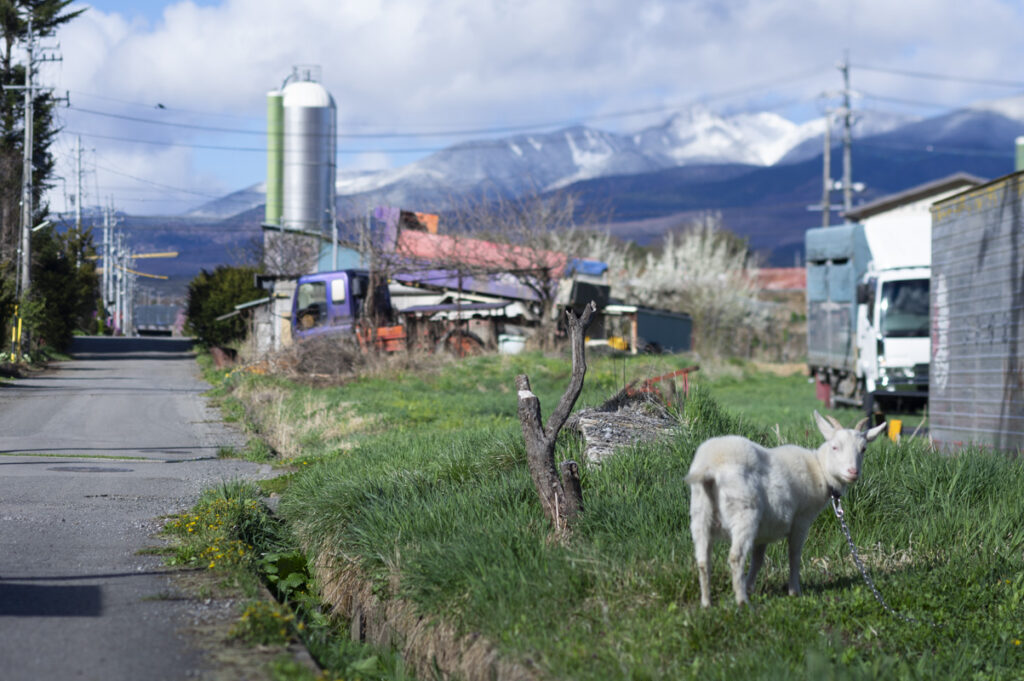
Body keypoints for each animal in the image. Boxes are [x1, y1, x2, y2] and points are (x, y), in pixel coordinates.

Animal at [688, 409, 888, 606]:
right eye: (835, 447)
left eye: (863, 449)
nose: (853, 472)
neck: (819, 470)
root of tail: (710, 469)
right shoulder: (801, 519)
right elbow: (794, 555)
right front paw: (794, 591)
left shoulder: (765, 528)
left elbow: (758, 559)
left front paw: (751, 586)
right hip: (744, 511)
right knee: (735, 557)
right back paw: (742, 602)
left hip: (700, 512)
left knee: (703, 560)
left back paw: (707, 603)